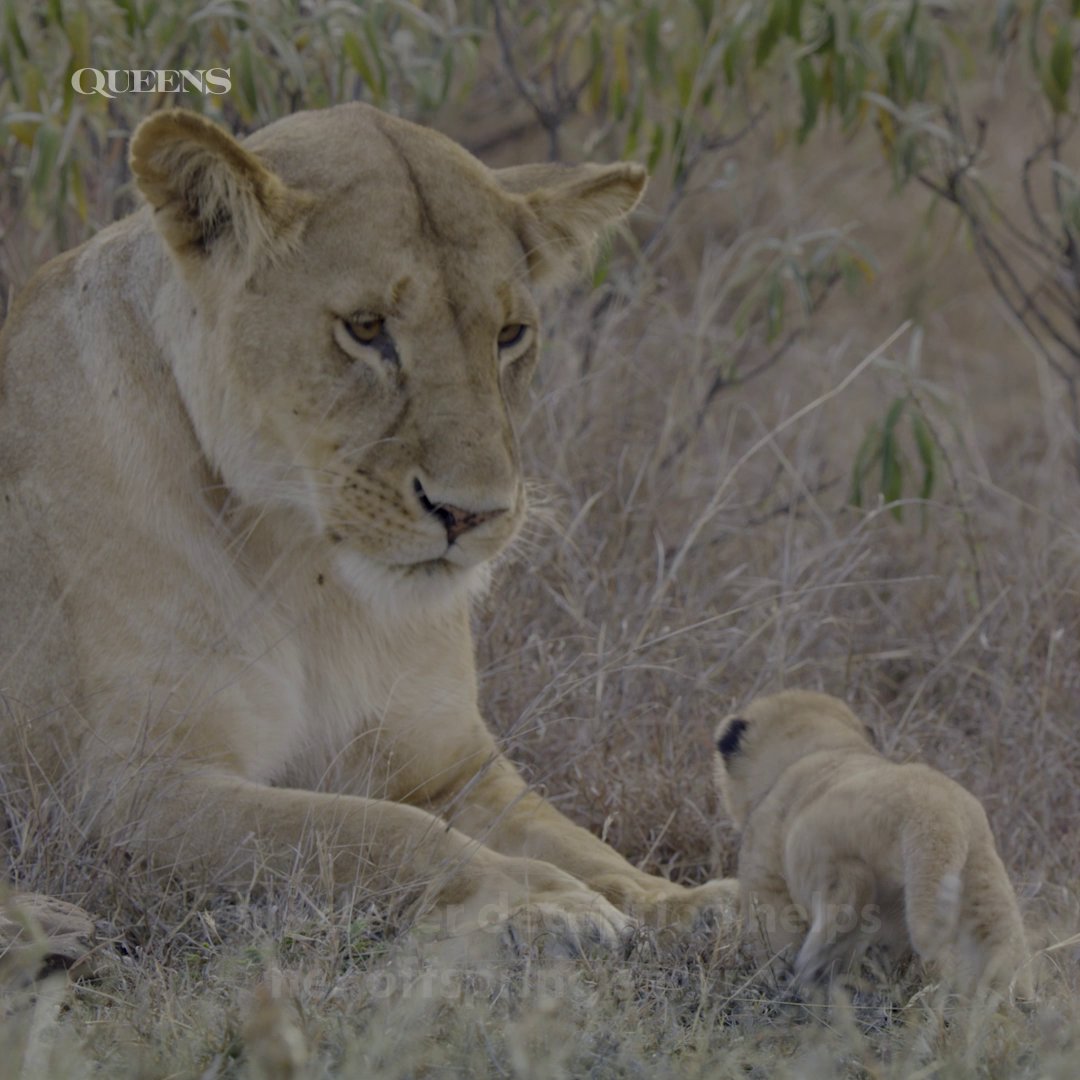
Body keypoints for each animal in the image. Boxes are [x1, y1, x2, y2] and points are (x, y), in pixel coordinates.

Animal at [0, 104, 734, 956]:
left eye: (510, 334)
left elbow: (577, 838)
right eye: (365, 327)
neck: (308, 572)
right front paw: (544, 902)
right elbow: (380, 831)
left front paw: (693, 902)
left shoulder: (455, 764)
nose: (472, 513)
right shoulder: (121, 791)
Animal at [713, 691, 1033, 1002]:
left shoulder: (765, 874)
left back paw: (814, 971)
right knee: (1001, 949)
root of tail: (938, 812)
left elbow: (773, 936)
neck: (820, 747)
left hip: (832, 856)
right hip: (984, 881)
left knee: (848, 905)